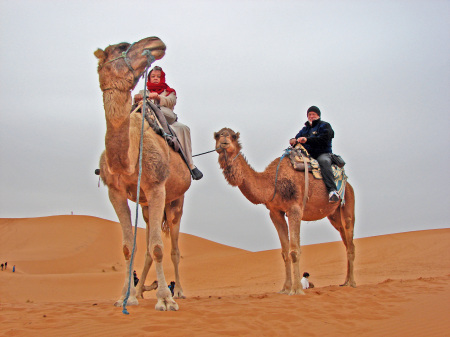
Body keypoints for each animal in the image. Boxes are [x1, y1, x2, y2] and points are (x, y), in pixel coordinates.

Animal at [96, 36, 191, 310]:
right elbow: (130, 247)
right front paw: (124, 297)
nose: (156, 41)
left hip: (176, 200)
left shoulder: (157, 187)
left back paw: (179, 291)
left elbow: (158, 247)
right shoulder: (115, 192)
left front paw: (166, 300)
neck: (128, 160)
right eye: (120, 48)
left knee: (174, 247)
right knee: (149, 243)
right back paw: (138, 293)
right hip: (147, 207)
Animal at [214, 127, 356, 292]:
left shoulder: (295, 209)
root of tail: (348, 183)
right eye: (217, 135)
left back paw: (352, 283)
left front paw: (297, 290)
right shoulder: (275, 212)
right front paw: (286, 288)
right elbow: (284, 252)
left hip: (348, 203)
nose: (224, 141)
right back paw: (345, 282)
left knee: (350, 242)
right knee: (345, 240)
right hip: (334, 215)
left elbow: (294, 251)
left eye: (233, 136)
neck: (272, 182)